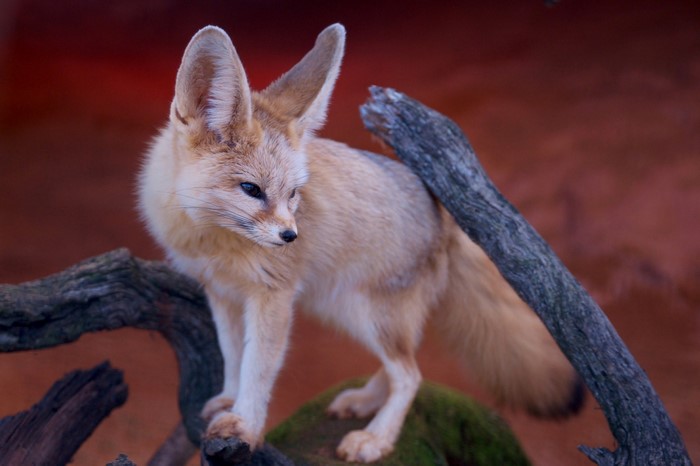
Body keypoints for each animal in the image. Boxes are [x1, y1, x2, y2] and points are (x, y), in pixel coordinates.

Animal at [138, 23, 584, 463]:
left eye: (293, 194)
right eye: (251, 189)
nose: (290, 236)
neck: (213, 240)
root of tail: (444, 210)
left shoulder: (272, 298)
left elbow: (258, 368)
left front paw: (244, 423)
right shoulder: (222, 292)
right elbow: (234, 356)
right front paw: (229, 401)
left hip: (366, 314)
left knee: (410, 374)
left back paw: (376, 438)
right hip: (346, 310)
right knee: (402, 364)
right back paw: (365, 402)